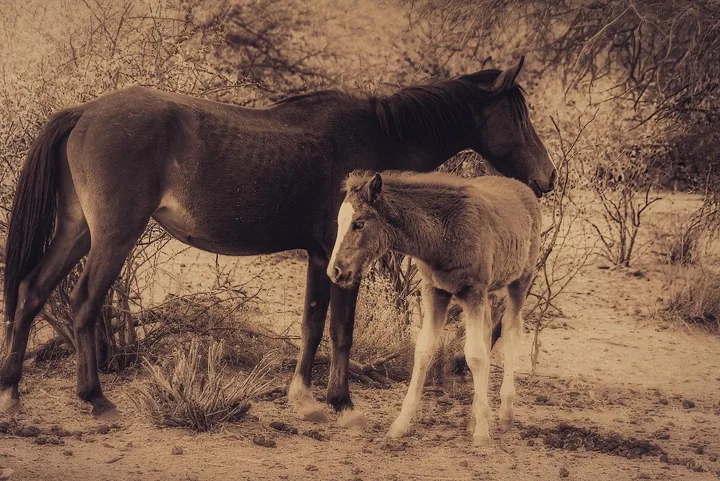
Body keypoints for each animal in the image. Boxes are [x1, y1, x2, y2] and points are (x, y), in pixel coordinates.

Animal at [328, 171, 540, 443]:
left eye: (359, 223)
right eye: (339, 222)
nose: (335, 271)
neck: (442, 236)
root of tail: (526, 190)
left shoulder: (472, 290)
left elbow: (475, 355)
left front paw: (482, 434)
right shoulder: (435, 291)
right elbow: (424, 350)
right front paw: (400, 425)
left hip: (520, 281)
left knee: (511, 331)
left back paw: (505, 414)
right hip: (489, 291)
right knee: (486, 332)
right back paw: (476, 416)